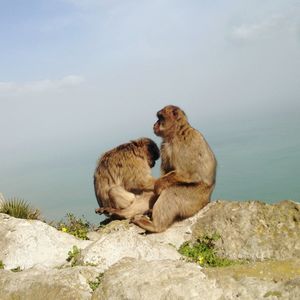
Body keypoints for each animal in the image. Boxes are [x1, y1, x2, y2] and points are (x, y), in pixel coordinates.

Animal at [132, 104, 217, 233]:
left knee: (171, 192)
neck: (175, 133)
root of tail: (207, 200)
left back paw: (155, 226)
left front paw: (158, 187)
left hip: (195, 199)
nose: (155, 124)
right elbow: (168, 171)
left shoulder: (182, 145)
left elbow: (189, 174)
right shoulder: (165, 147)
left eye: (160, 117)